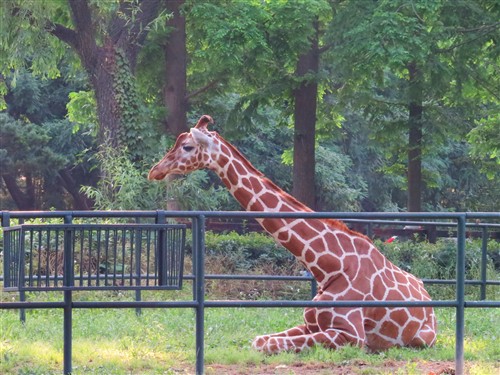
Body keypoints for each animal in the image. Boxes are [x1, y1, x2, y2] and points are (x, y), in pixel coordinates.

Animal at [149, 115, 438, 356]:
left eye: (187, 147)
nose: (155, 170)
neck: (329, 267)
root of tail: (429, 300)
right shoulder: (310, 324)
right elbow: (259, 340)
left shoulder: (351, 335)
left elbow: (267, 344)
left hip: (422, 339)